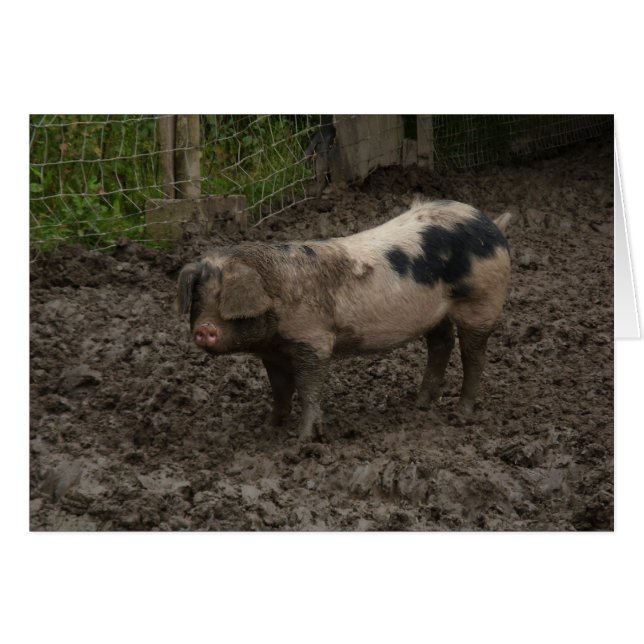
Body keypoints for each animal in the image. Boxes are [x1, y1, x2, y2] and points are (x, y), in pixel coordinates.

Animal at [176, 199, 511, 441]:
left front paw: (304, 440)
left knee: (473, 355)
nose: (204, 330)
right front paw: (268, 428)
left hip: (482, 301)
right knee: (441, 343)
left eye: (224, 298)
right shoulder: (273, 352)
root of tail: (488, 223)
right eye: (199, 300)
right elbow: (280, 389)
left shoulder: (314, 339)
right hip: (435, 313)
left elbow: (308, 387)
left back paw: (461, 414)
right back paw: (420, 403)